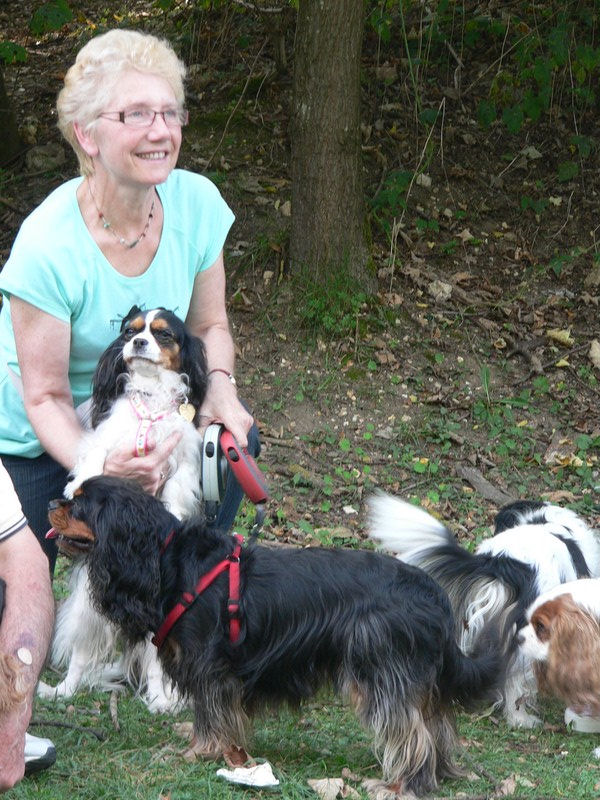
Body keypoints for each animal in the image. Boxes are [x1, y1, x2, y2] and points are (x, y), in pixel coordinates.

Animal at [38, 306, 207, 713]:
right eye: (130, 331)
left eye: (162, 334)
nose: (139, 342)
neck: (151, 399)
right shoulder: (109, 437)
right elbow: (95, 457)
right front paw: (77, 482)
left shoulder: (183, 462)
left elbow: (175, 491)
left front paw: (161, 699)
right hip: (89, 609)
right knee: (83, 655)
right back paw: (64, 690)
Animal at [47, 476, 506, 798]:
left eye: (80, 502)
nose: (53, 502)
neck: (163, 557)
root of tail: (432, 592)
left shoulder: (209, 666)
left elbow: (210, 715)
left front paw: (198, 751)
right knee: (435, 725)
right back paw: (438, 775)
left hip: (381, 670)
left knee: (411, 731)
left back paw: (402, 785)